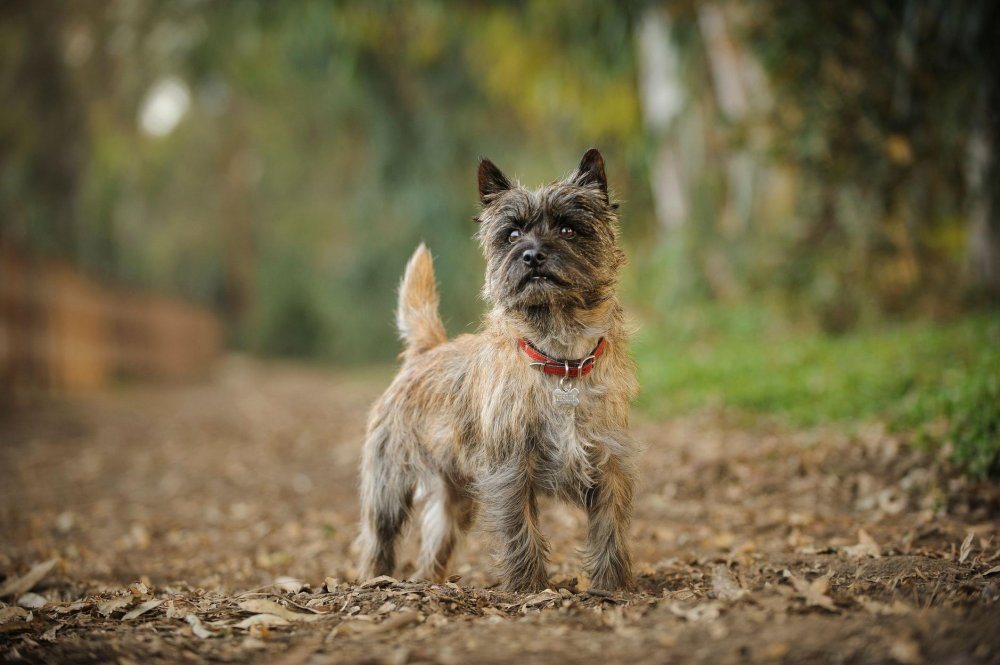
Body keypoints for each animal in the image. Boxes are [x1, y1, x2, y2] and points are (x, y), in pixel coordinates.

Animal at [360, 149, 636, 592]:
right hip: (389, 486)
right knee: (377, 539)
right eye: (511, 234)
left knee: (435, 544)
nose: (532, 255)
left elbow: (610, 528)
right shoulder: (510, 472)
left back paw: (428, 582)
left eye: (568, 228)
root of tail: (428, 349)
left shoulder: (608, 463)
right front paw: (529, 588)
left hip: (454, 497)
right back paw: (374, 580)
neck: (560, 356)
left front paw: (613, 586)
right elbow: (520, 530)